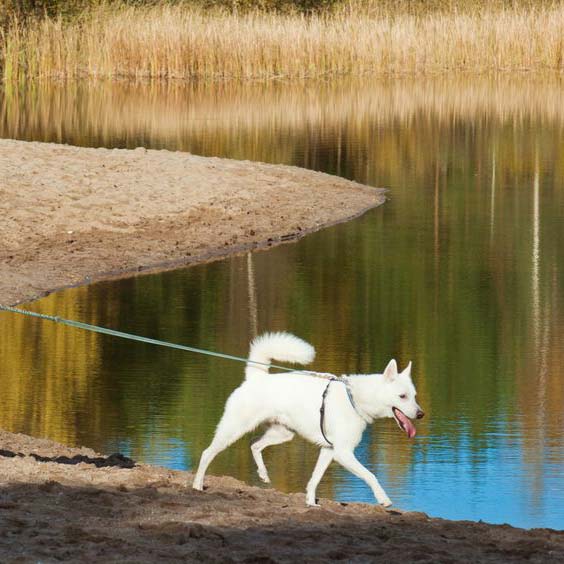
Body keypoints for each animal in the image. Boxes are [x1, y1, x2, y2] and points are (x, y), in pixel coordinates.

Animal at [194, 330, 424, 506]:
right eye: (402, 396)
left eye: (414, 396)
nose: (421, 414)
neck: (356, 397)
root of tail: (256, 377)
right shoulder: (343, 453)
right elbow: (370, 475)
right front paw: (383, 499)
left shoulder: (328, 450)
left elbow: (314, 479)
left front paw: (311, 503)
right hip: (233, 429)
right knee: (207, 453)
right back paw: (197, 485)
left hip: (282, 433)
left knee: (254, 444)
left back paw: (263, 474)